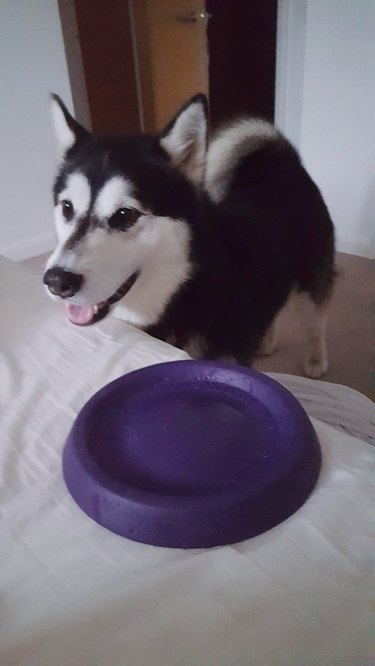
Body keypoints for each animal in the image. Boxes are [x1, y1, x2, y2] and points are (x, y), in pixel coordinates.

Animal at [44, 92, 338, 378]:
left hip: (311, 283)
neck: (182, 289)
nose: (57, 281)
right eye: (67, 207)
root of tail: (284, 157)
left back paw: (317, 360)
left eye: (125, 215)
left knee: (316, 323)